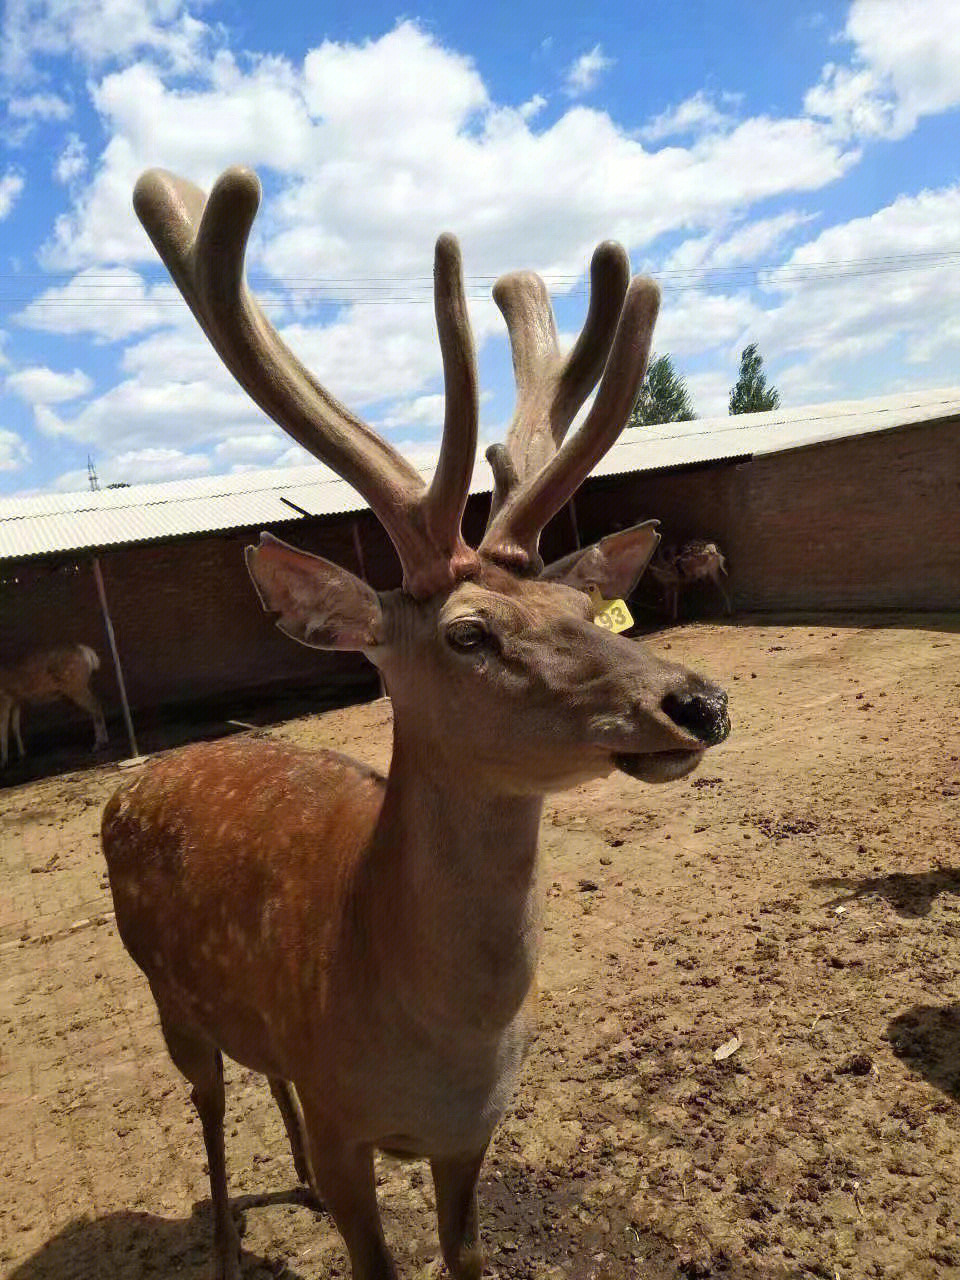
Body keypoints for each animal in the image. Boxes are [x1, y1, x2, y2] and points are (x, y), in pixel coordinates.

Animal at [101, 165, 732, 1280]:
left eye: (583, 609)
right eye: (468, 633)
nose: (696, 701)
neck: (431, 1049)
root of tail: (128, 787)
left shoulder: (470, 1131)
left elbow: (463, 1254)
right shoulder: (347, 1121)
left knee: (264, 1075)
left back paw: (295, 1186)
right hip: (165, 993)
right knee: (208, 1105)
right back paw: (222, 1241)